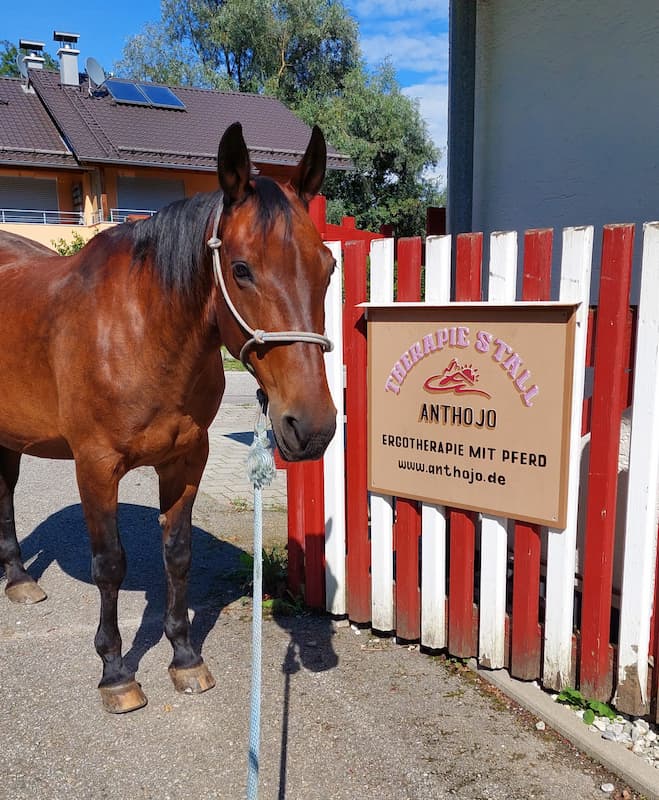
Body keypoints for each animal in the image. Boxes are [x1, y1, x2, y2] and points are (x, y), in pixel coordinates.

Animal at [0, 122, 337, 713]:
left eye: (328, 267)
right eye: (241, 269)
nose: (312, 426)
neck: (141, 330)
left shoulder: (186, 459)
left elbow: (177, 556)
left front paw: (184, 658)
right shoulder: (95, 465)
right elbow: (110, 563)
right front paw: (115, 671)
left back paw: (19, 578)